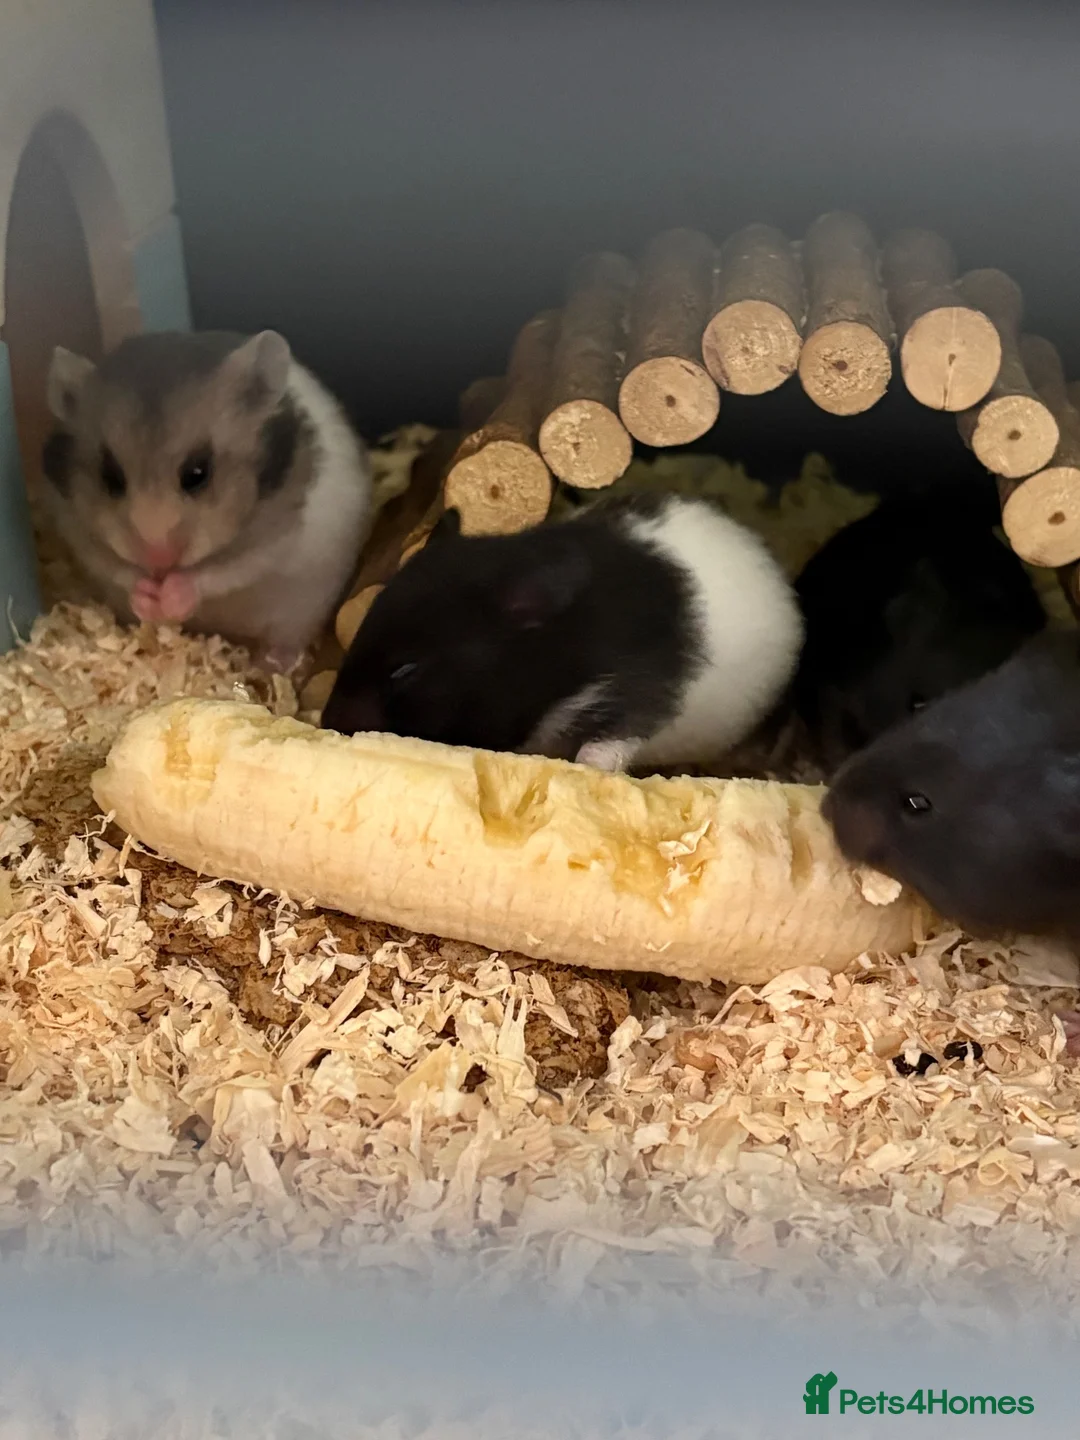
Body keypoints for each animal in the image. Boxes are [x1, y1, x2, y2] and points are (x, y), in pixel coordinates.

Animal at [41, 330, 374, 670]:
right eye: (110, 477)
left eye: (198, 473)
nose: (159, 562)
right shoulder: (80, 534)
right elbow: (118, 568)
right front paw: (148, 597)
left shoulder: (273, 537)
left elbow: (221, 571)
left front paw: (172, 596)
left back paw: (271, 664)